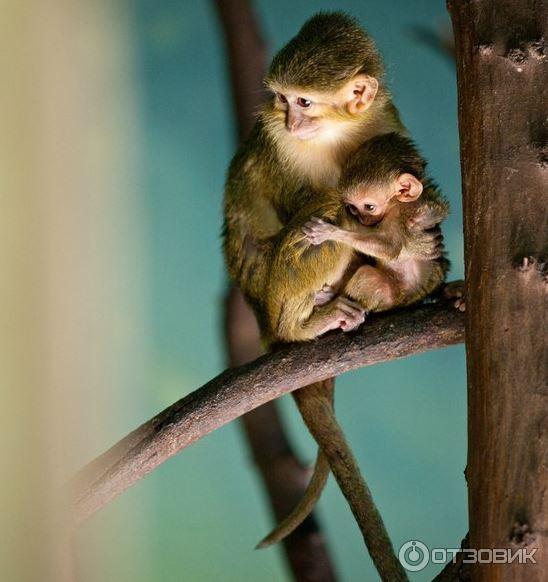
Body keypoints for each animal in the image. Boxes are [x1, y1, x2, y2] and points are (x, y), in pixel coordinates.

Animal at [223, 13, 436, 580]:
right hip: (274, 289)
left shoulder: (386, 125)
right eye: (282, 100)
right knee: (325, 204)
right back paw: (303, 325)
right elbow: (314, 207)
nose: (292, 120)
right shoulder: (279, 145)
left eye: (304, 101)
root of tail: (261, 317)